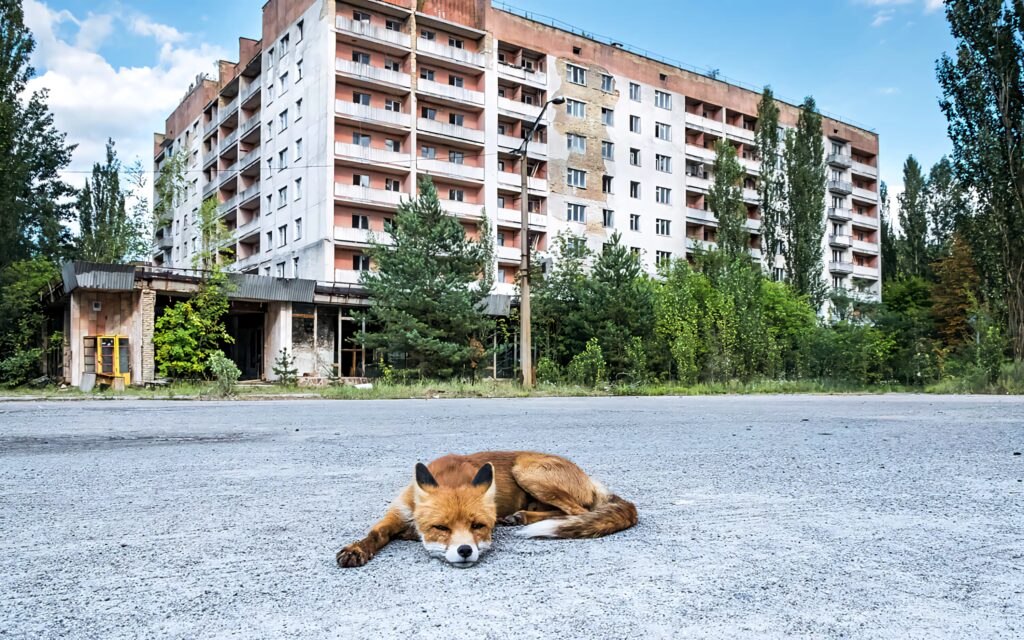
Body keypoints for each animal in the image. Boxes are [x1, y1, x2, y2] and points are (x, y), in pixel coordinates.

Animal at [336, 451, 638, 568]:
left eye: (478, 526)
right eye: (441, 527)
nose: (465, 551)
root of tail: (591, 481)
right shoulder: (398, 511)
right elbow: (376, 533)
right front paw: (356, 549)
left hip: (525, 469)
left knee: (578, 511)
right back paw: (521, 515)